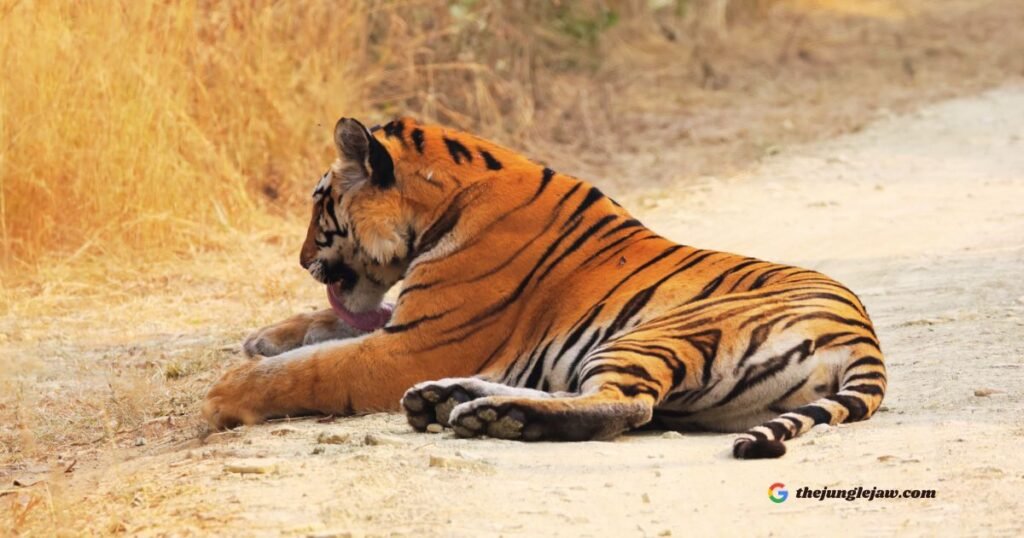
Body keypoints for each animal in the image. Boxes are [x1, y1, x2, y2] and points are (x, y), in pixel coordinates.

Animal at [202, 116, 887, 459]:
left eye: (319, 203)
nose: (301, 261)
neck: (442, 199)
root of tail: (865, 339)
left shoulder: (413, 345)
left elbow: (315, 367)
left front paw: (225, 394)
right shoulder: (407, 327)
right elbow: (325, 329)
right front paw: (264, 337)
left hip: (653, 334)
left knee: (626, 407)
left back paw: (492, 417)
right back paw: (450, 401)